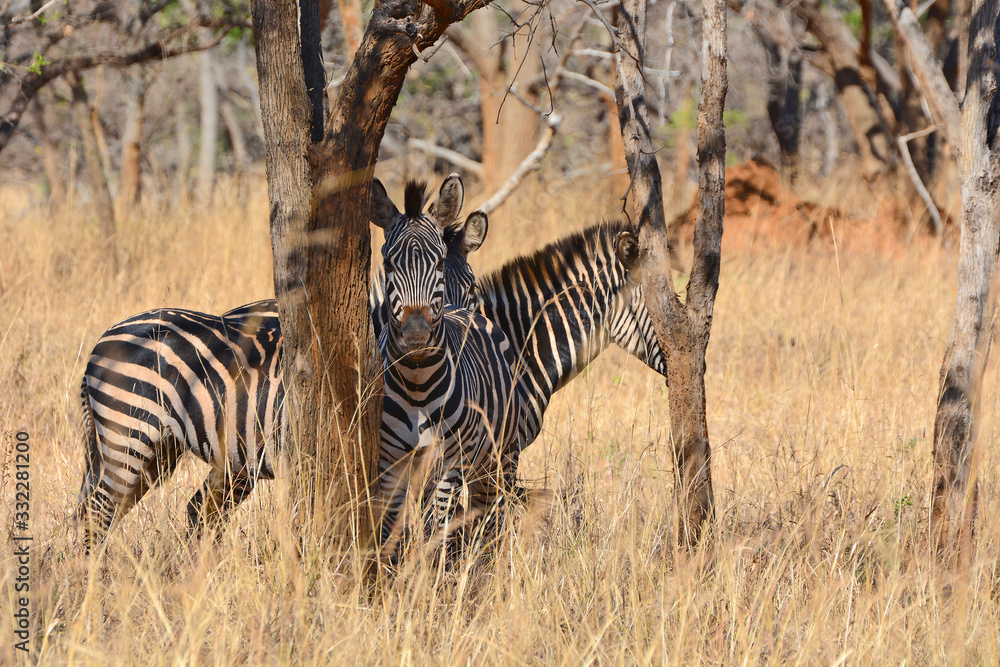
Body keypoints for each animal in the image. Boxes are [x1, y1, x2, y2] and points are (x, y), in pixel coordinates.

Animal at [76, 175, 488, 549]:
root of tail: (106, 336)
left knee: (174, 510)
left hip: (164, 451)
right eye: (387, 264)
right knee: (97, 515)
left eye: (469, 287)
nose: (419, 336)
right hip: (128, 437)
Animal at [370, 178, 525, 562]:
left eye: (438, 263)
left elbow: (438, 530)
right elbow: (390, 530)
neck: (417, 382)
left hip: (501, 453)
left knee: (492, 512)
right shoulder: (391, 464)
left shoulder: (449, 464)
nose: (416, 335)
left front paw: (434, 572)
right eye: (387, 263)